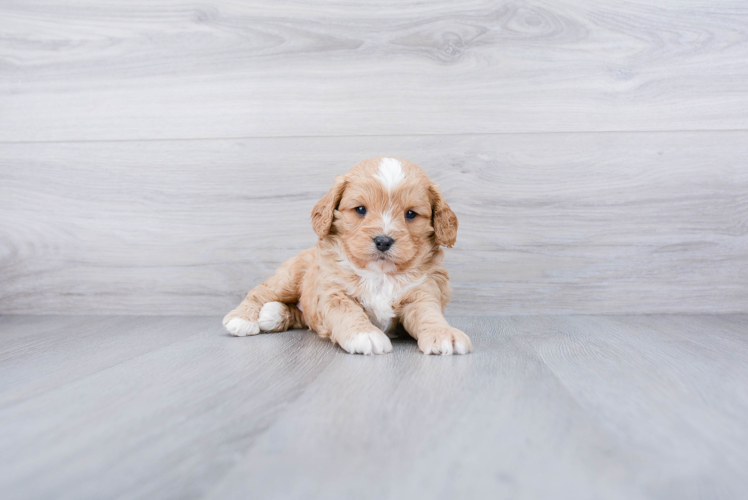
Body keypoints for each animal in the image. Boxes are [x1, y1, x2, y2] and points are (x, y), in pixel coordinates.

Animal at [221, 156, 474, 356]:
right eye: (360, 210)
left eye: (411, 214)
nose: (383, 241)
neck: (380, 274)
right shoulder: (334, 292)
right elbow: (348, 312)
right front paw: (364, 335)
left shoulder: (422, 293)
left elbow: (429, 315)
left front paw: (444, 334)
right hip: (290, 277)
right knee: (261, 291)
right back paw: (243, 318)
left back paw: (273, 314)